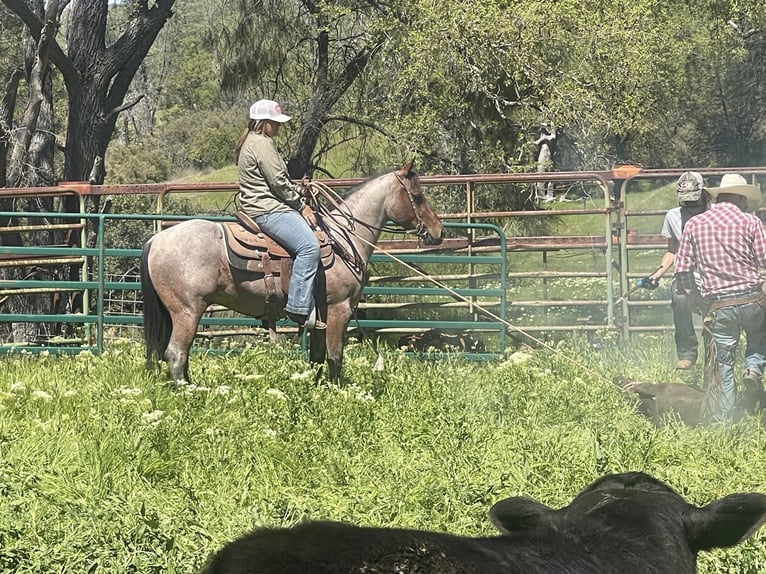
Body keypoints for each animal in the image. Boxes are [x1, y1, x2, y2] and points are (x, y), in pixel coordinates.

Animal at [141, 161, 448, 388]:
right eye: (418, 196)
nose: (439, 232)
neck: (342, 239)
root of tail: (156, 240)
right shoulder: (338, 310)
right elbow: (335, 357)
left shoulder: (321, 315)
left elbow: (317, 357)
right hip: (187, 311)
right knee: (176, 354)